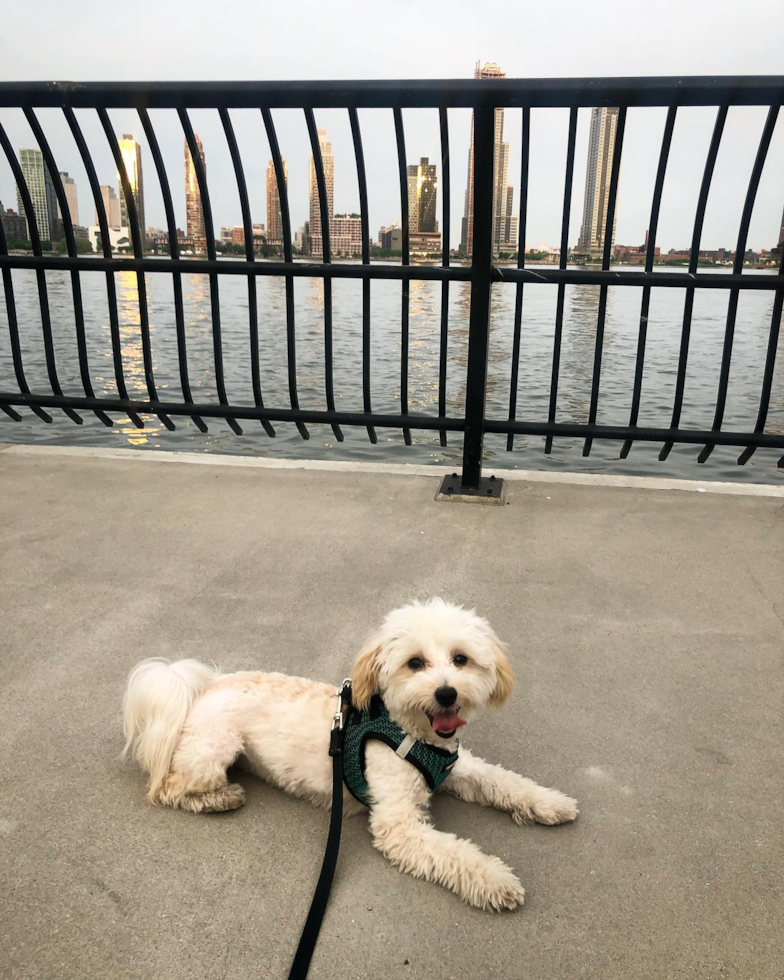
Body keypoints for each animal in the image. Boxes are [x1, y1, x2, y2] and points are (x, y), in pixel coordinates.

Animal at [122, 596, 576, 912]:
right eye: (415, 663)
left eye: (461, 659)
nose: (446, 692)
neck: (408, 732)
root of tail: (206, 685)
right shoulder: (399, 825)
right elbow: (456, 853)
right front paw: (496, 880)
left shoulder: (457, 768)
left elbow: (503, 781)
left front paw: (549, 803)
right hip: (214, 751)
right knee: (168, 787)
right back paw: (220, 798)